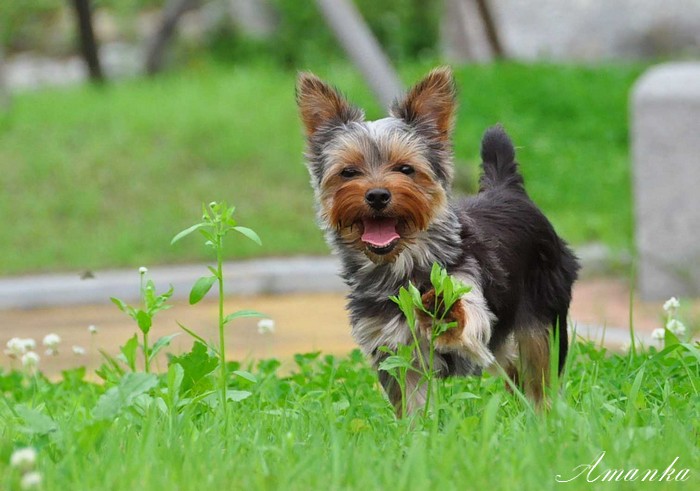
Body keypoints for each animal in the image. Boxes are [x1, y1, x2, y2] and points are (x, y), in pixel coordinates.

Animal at [296, 66, 580, 416]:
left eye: (405, 169)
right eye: (348, 172)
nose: (377, 195)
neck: (400, 264)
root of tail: (508, 189)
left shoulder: (471, 297)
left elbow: (464, 316)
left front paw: (439, 306)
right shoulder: (393, 351)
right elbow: (412, 404)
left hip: (543, 313)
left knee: (540, 372)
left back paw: (543, 418)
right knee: (515, 371)